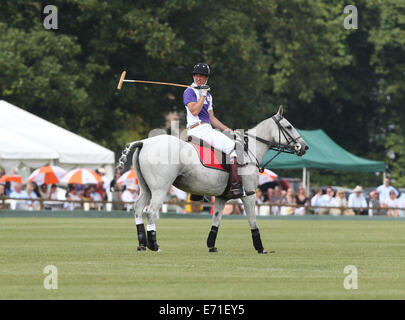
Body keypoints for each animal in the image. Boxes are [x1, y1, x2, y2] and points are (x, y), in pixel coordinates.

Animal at [117, 106, 306, 254]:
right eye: (289, 126)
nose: (304, 147)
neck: (248, 151)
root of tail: (143, 142)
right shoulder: (250, 194)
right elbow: (252, 219)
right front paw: (261, 248)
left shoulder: (222, 196)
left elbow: (216, 219)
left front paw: (211, 246)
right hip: (160, 188)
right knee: (151, 212)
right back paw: (154, 245)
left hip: (146, 187)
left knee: (138, 208)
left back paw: (142, 244)